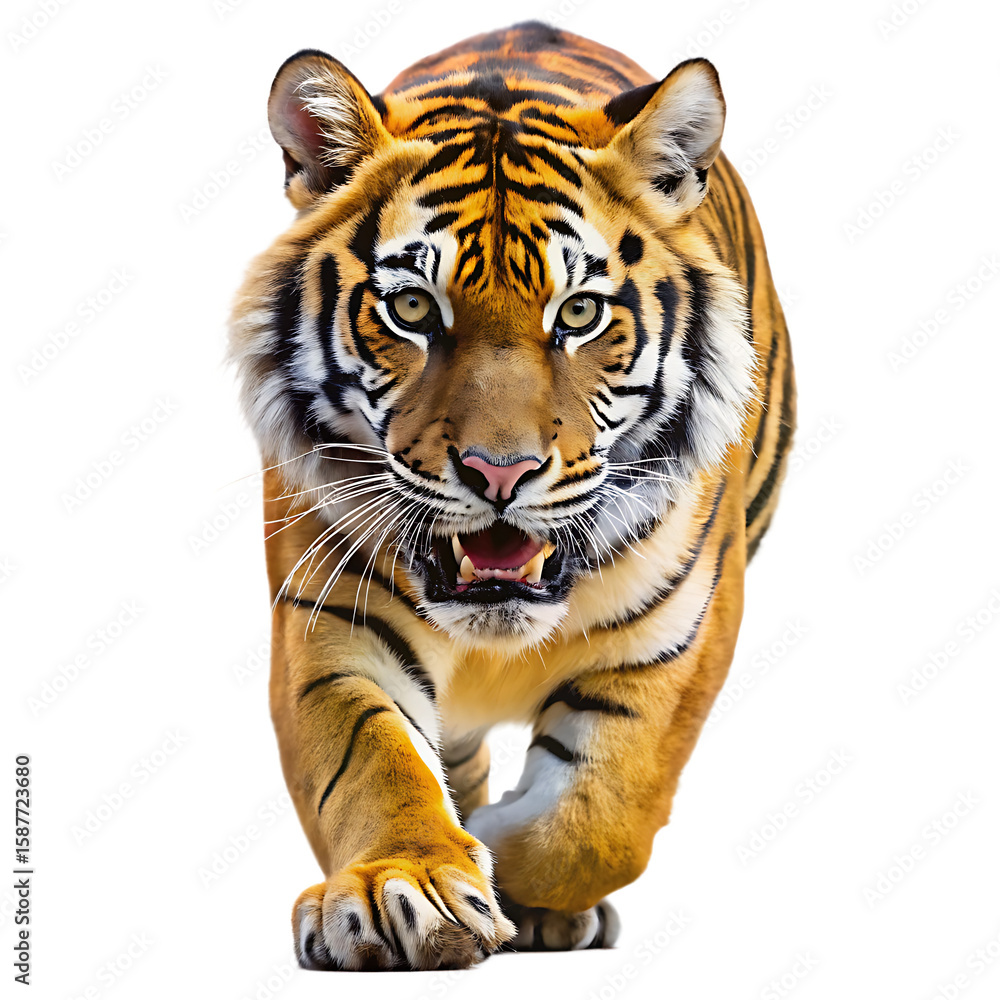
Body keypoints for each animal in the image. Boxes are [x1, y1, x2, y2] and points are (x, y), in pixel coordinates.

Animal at [229, 21, 795, 971]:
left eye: (579, 315)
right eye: (415, 308)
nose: (499, 472)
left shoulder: (680, 638)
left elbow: (598, 820)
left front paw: (503, 864)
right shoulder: (331, 620)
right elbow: (373, 761)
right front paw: (404, 889)